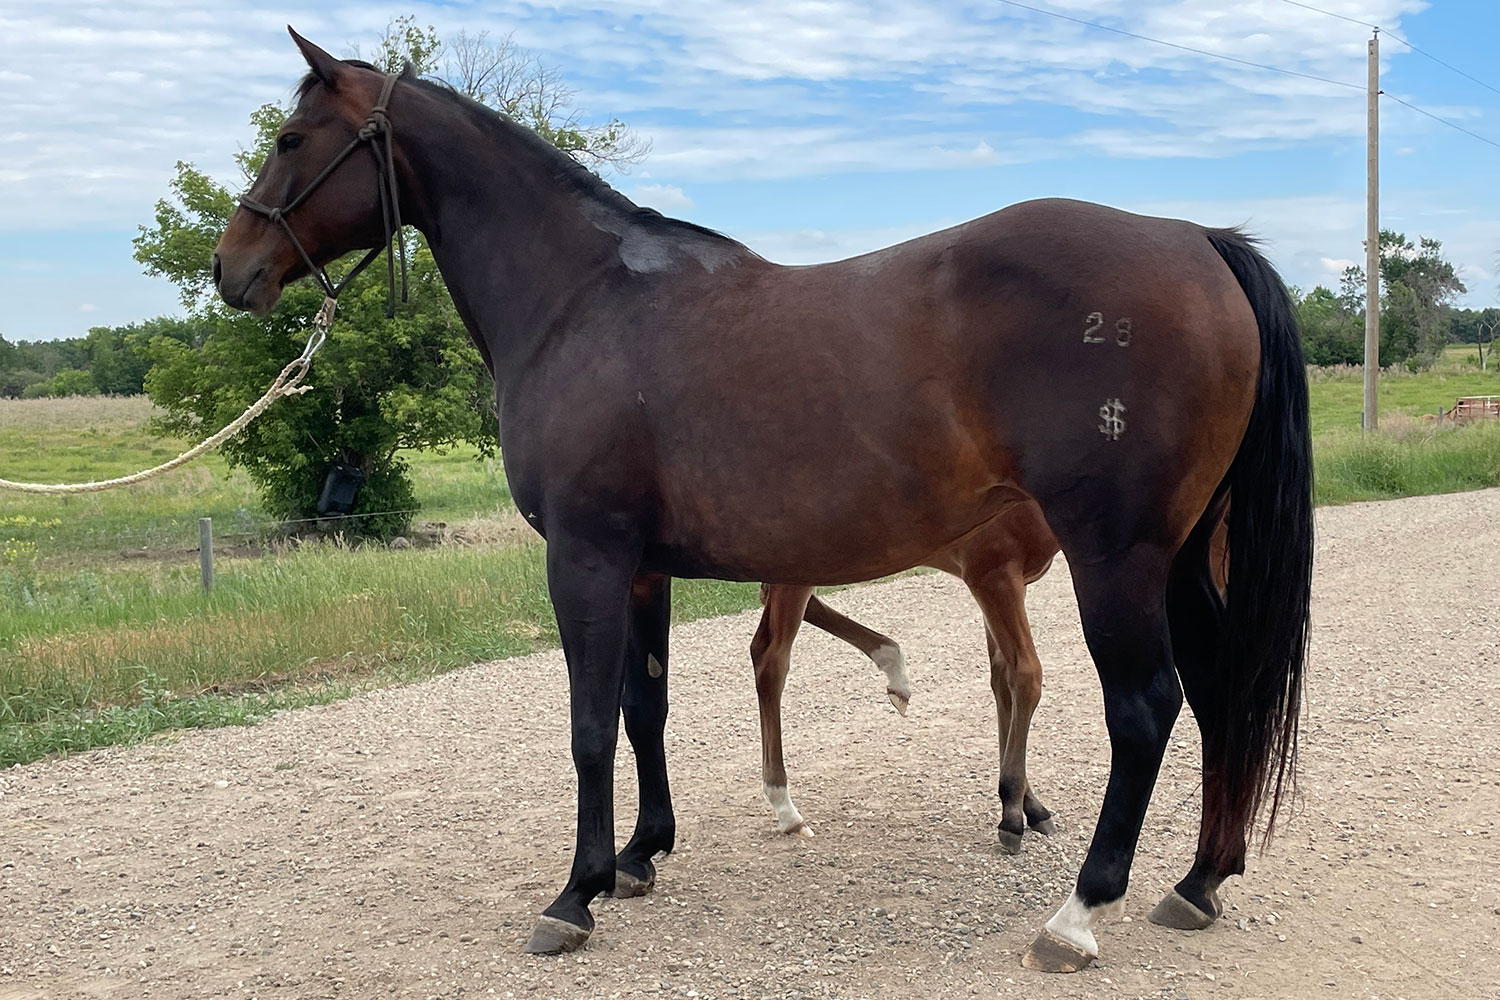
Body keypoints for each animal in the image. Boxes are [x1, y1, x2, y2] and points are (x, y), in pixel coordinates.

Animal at [751, 500, 1060, 852]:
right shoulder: (993, 573)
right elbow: (1026, 676)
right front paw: (1011, 814)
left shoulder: (1003, 583)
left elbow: (1003, 684)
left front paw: (1029, 805)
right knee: (771, 660)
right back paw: (786, 809)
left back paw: (893, 667)